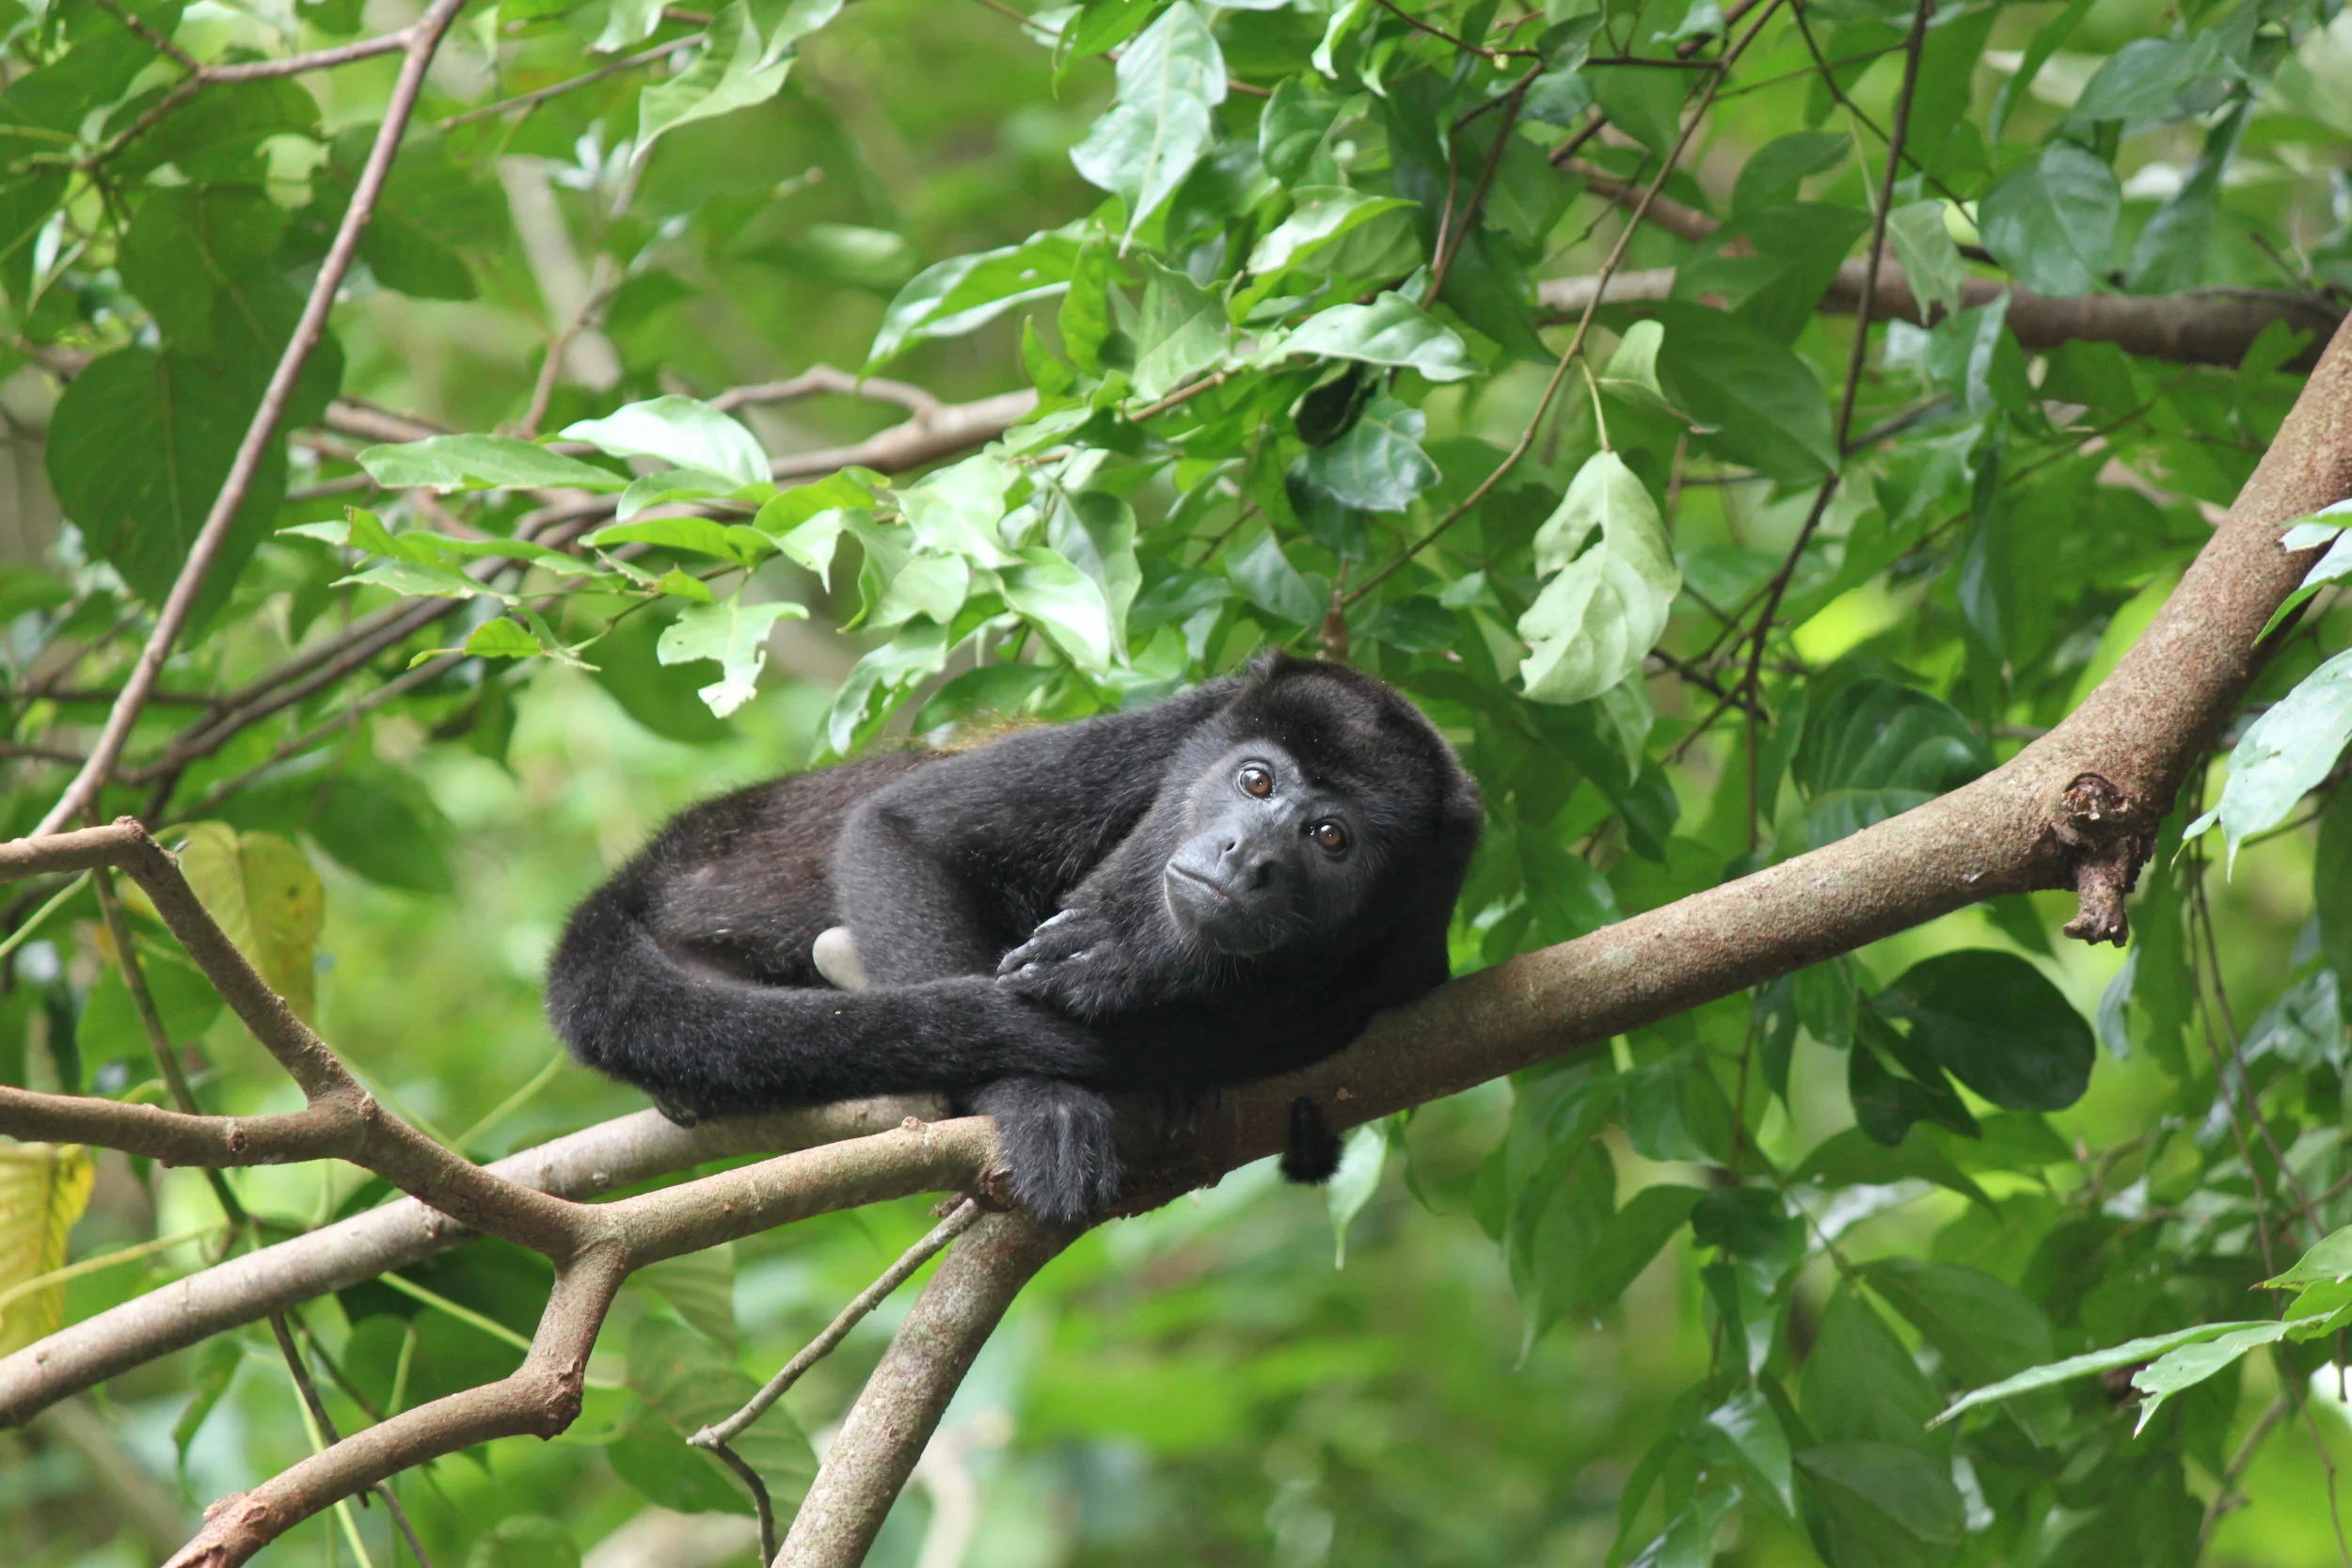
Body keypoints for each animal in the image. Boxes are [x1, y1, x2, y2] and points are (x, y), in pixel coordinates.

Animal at [545, 653, 1481, 1225]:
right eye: (1255, 780)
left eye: (1331, 837)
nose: (1250, 856)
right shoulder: (1170, 732)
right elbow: (898, 828)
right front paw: (1039, 1100)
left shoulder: (1424, 923)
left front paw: (1130, 974)